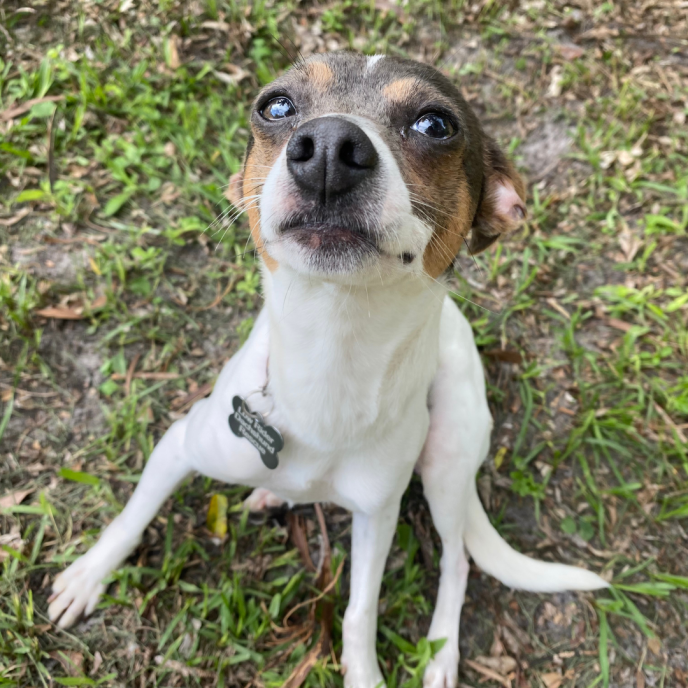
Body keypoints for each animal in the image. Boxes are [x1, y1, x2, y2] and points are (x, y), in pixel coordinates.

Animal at [49, 52, 607, 688]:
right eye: (275, 106)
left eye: (436, 124)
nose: (329, 147)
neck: (332, 358)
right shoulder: (179, 444)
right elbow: (131, 517)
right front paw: (89, 575)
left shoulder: (376, 519)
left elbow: (359, 613)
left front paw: (365, 672)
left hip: (445, 462)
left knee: (459, 559)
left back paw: (440, 653)